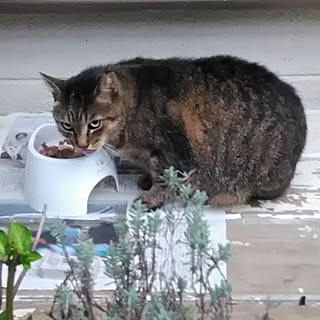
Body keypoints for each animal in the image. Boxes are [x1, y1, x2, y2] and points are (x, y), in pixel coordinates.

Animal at [40, 55, 308, 208]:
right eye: (67, 125)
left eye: (94, 123)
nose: (82, 144)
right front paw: (146, 179)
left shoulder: (171, 153)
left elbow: (163, 179)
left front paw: (151, 198)